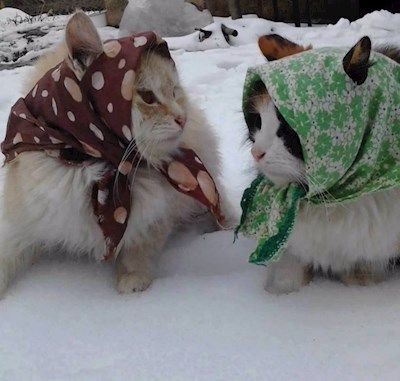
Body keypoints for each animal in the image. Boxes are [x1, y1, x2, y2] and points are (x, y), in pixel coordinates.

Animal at [0, 11, 230, 296]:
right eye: (147, 96)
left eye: (174, 92)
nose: (182, 118)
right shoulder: (21, 222)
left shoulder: (158, 213)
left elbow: (140, 246)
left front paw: (132, 279)